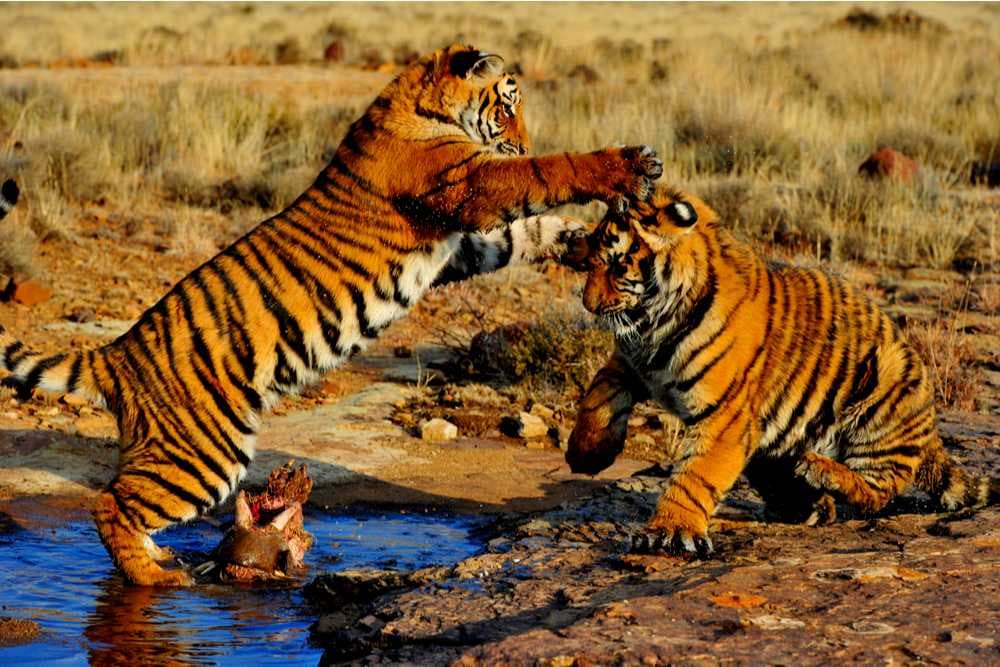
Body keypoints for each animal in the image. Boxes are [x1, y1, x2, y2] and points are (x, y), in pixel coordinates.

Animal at [0, 43, 662, 586]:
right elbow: (547, 176)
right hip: (202, 454)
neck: (416, 99)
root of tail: (116, 352)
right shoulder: (468, 188)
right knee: (109, 504)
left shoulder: (461, 243)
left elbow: (528, 231)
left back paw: (160, 558)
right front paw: (627, 165)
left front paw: (584, 242)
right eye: (507, 109)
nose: (521, 141)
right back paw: (156, 577)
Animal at [566, 185, 997, 555]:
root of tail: (932, 431)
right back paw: (773, 507)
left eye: (617, 265)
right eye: (589, 263)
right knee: (816, 508)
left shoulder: (726, 416)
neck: (655, 325)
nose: (587, 304)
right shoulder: (628, 362)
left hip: (885, 387)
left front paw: (669, 531)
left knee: (879, 489)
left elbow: (694, 476)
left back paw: (820, 470)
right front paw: (585, 455)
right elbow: (598, 395)